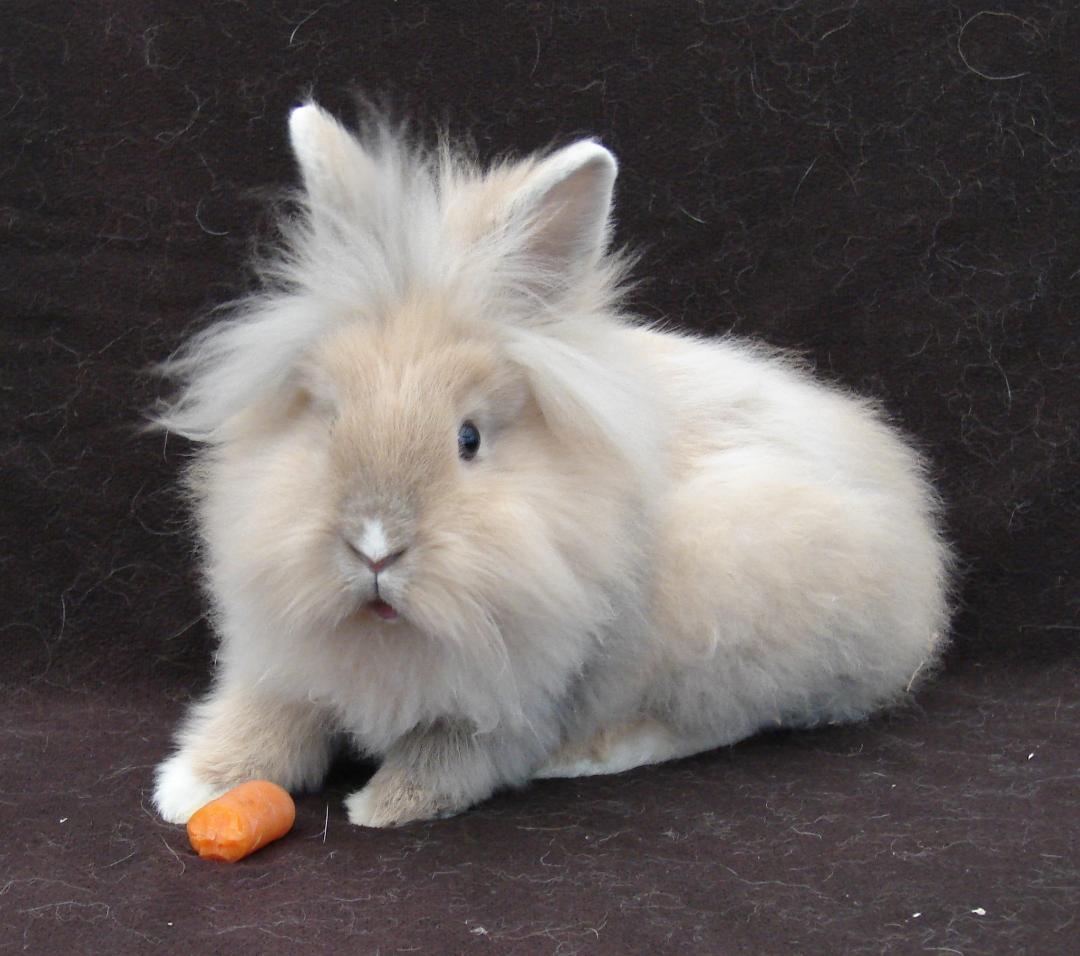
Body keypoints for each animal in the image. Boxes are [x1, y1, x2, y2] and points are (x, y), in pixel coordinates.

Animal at [151, 102, 951, 828]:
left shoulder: (519, 699)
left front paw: (385, 805)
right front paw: (190, 788)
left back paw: (595, 754)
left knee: (718, 721)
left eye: (469, 439)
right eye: (328, 420)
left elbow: (457, 751)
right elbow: (265, 716)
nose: (375, 547)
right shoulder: (285, 660)